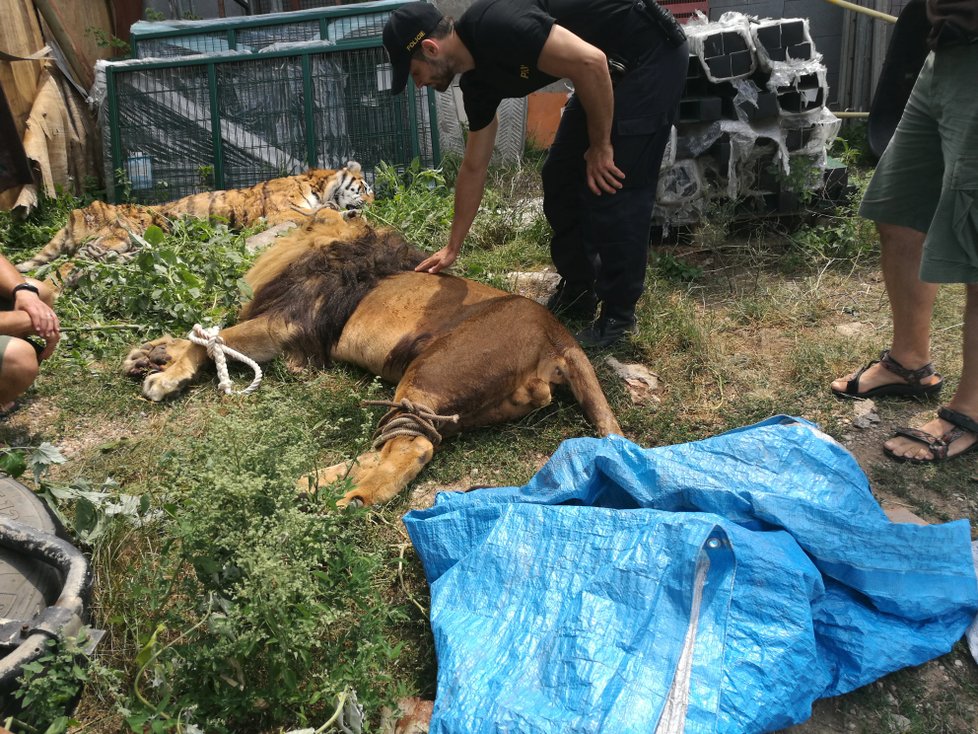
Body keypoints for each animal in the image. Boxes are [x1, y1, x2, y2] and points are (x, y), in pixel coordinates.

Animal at [126, 206, 620, 506]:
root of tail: (560, 337)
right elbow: (204, 335)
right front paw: (149, 353)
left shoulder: (286, 325)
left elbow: (210, 340)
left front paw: (163, 376)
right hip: (461, 405)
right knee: (391, 442)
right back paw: (311, 482)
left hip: (432, 374)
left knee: (413, 447)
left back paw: (352, 498)